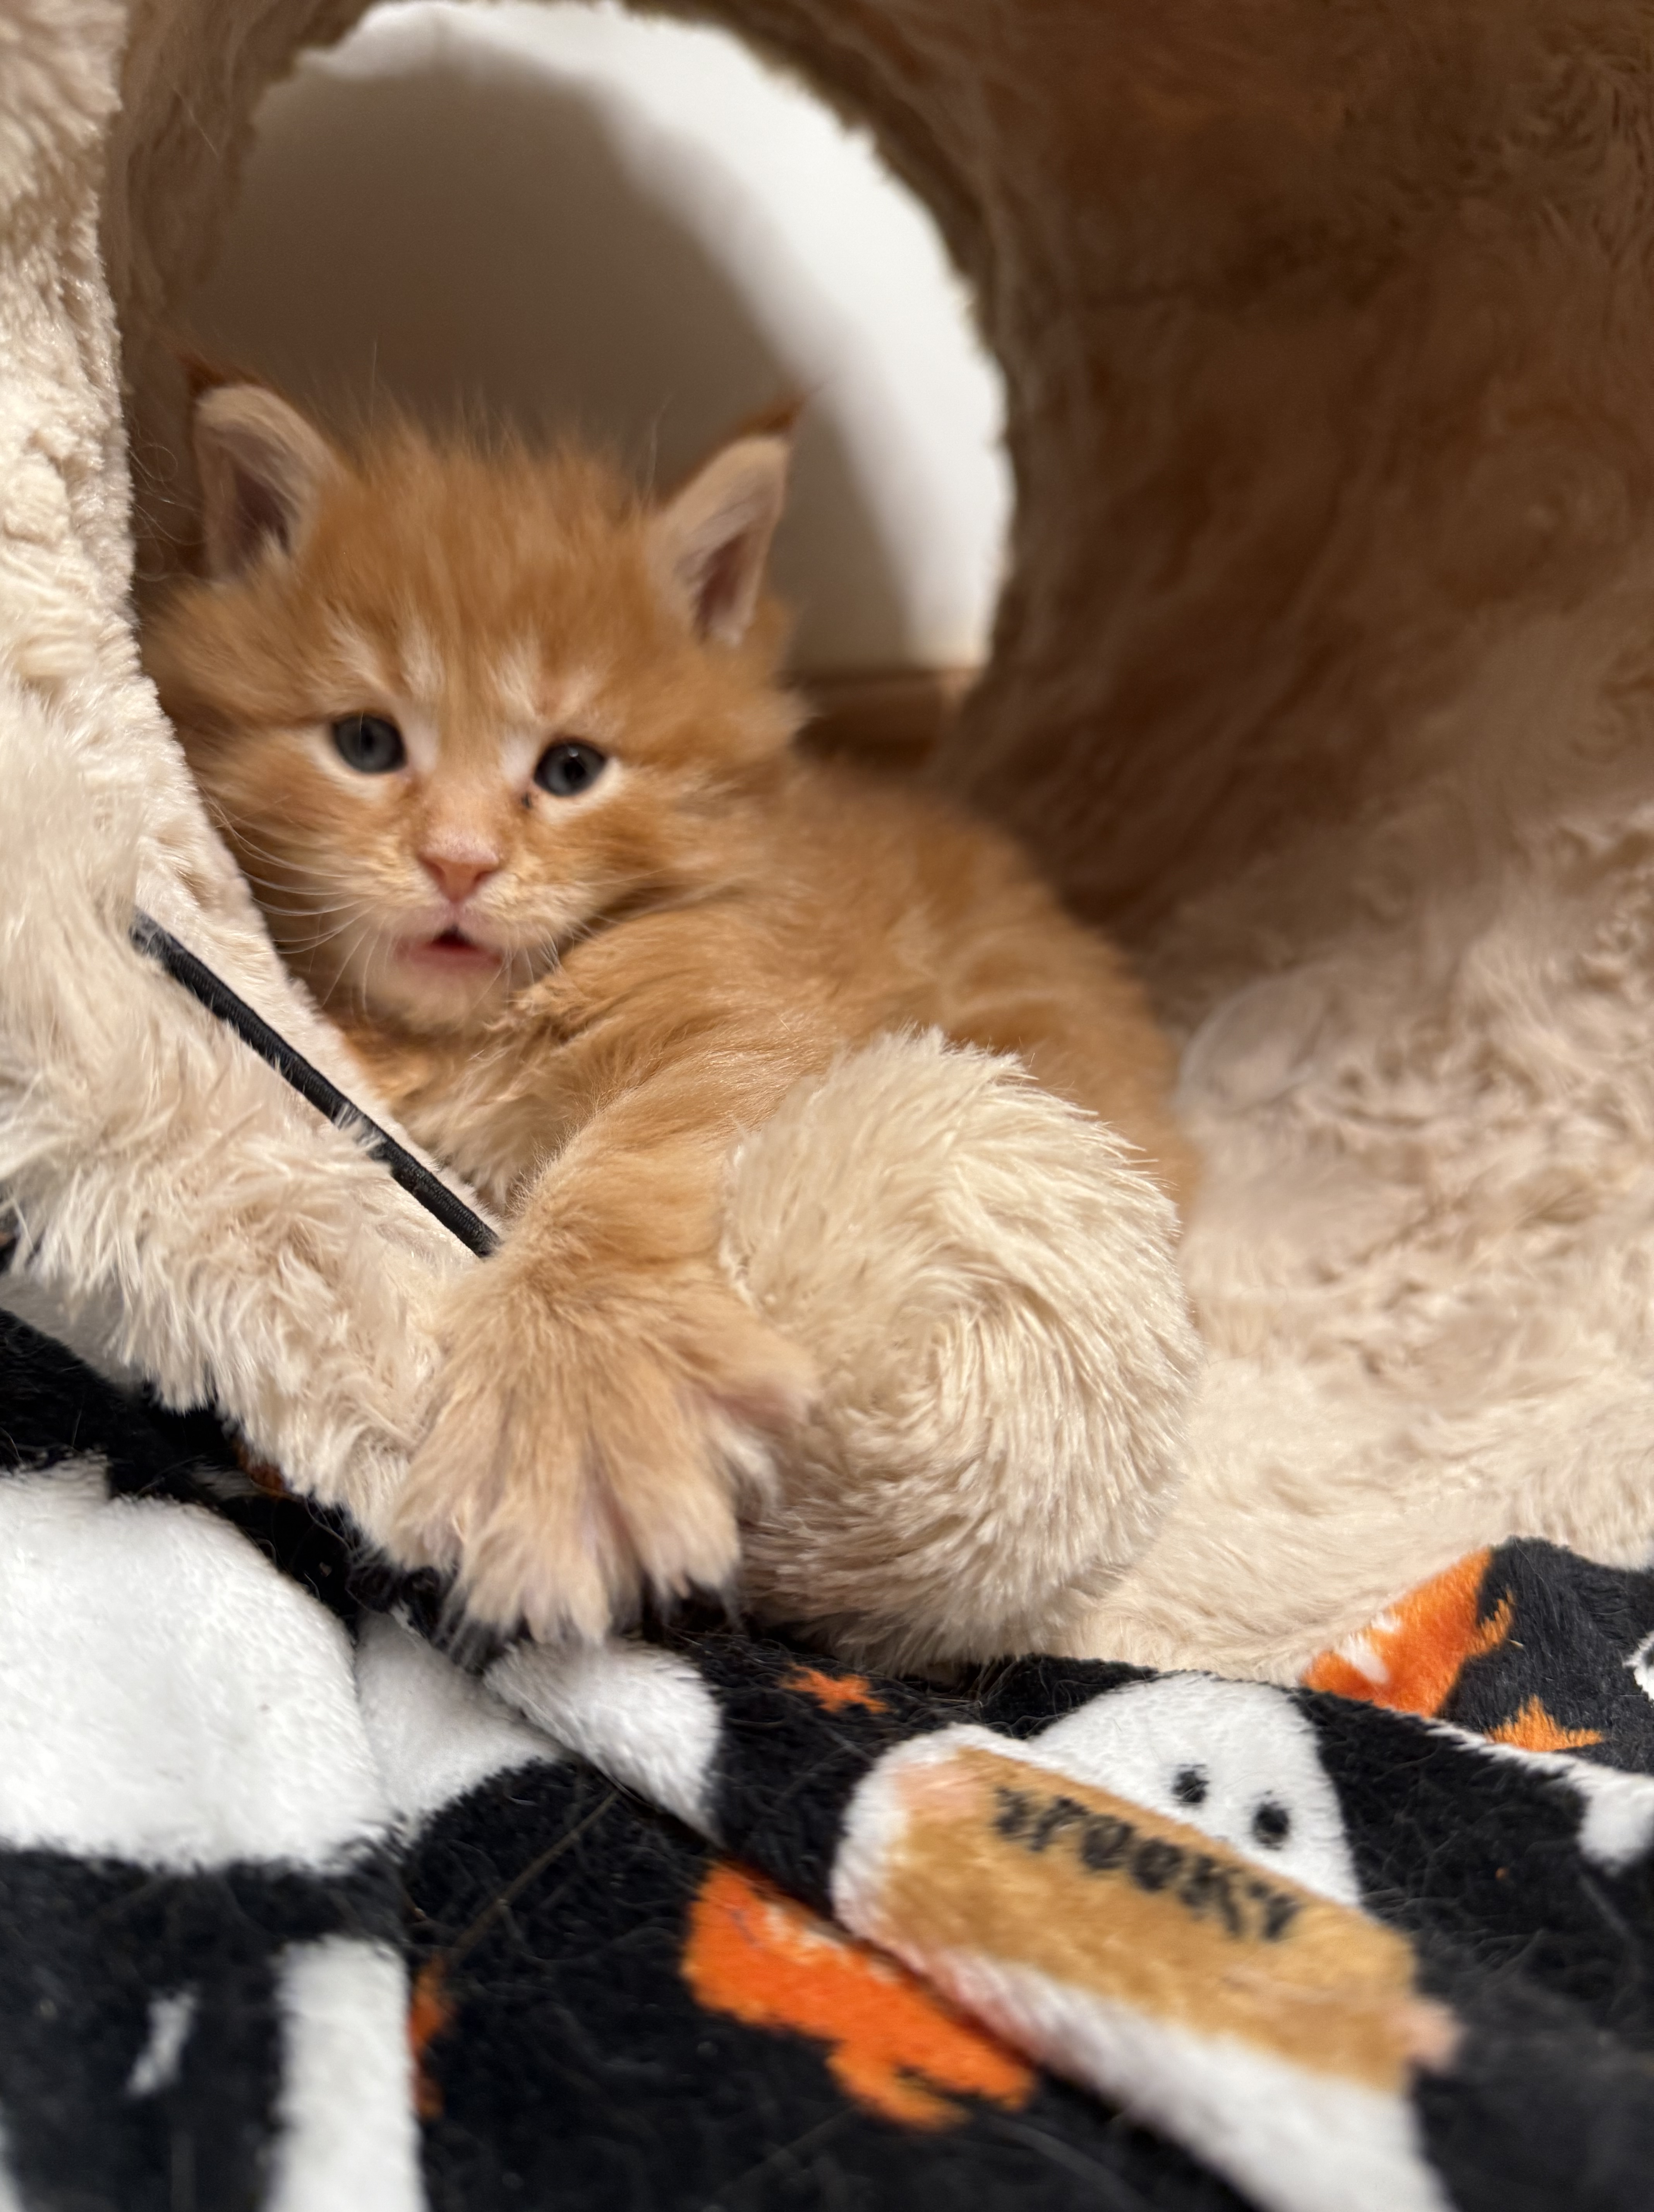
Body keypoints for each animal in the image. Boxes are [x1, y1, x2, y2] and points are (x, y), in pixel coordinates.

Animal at [145, 378, 1195, 1642]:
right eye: (365, 742)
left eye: (570, 769)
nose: (458, 864)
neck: (480, 1019)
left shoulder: (745, 1015)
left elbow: (624, 1181)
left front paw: (568, 1397)